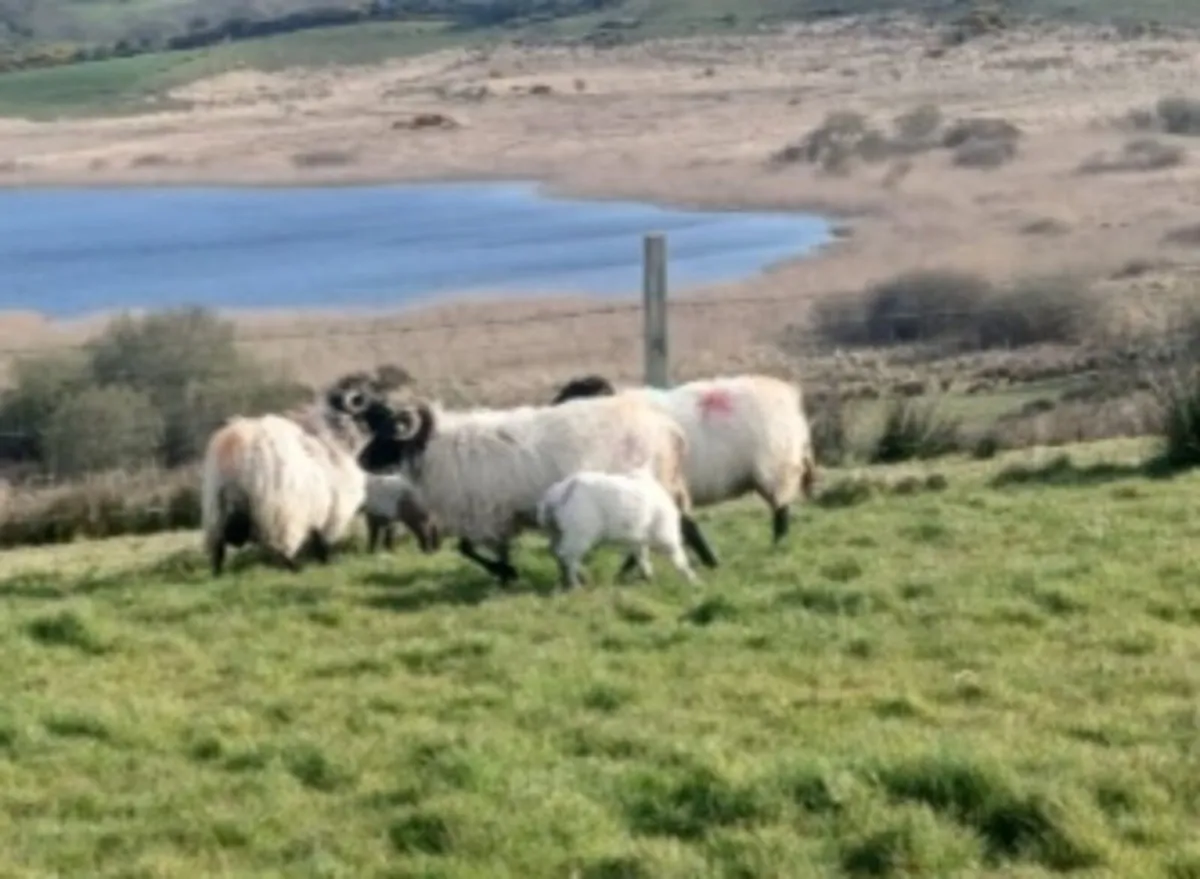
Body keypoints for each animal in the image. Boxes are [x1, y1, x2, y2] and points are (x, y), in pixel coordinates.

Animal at [201, 376, 437, 575]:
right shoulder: (332, 508)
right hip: (279, 511)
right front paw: (326, 563)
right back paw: (294, 569)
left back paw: (218, 574)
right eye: (378, 406)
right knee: (278, 547)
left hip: (217, 507)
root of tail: (238, 449)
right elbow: (322, 542)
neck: (336, 436)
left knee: (218, 548)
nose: (402, 424)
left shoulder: (318, 507)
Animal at [536, 464, 698, 590]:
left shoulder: (639, 539)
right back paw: (575, 583)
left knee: (558, 553)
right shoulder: (667, 537)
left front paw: (648, 577)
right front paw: (692, 580)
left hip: (557, 532)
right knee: (567, 556)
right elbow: (680, 560)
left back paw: (570, 579)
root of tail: (560, 492)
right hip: (579, 533)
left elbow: (642, 557)